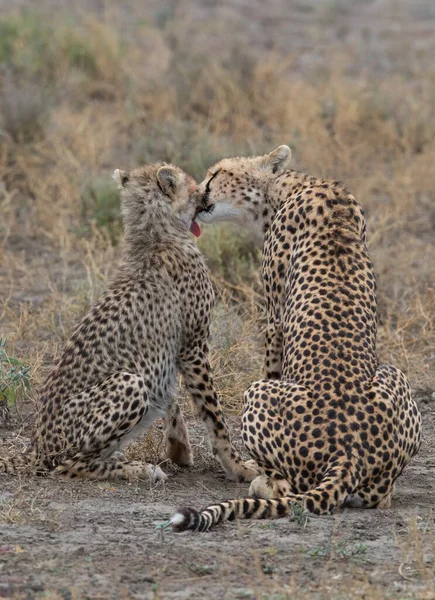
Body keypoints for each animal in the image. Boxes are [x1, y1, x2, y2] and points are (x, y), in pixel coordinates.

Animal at [0, 162, 258, 480]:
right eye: (194, 186)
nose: (206, 198)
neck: (157, 235)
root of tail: (36, 446)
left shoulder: (169, 351)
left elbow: (171, 396)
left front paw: (179, 449)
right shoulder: (194, 346)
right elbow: (214, 415)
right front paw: (237, 466)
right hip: (128, 382)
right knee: (68, 466)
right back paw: (139, 469)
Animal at [168, 148, 422, 532]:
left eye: (217, 174)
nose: (198, 193)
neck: (292, 186)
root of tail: (348, 453)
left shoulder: (275, 320)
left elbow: (273, 363)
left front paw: (250, 468)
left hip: (257, 393)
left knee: (289, 487)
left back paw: (262, 481)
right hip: (395, 377)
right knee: (381, 498)